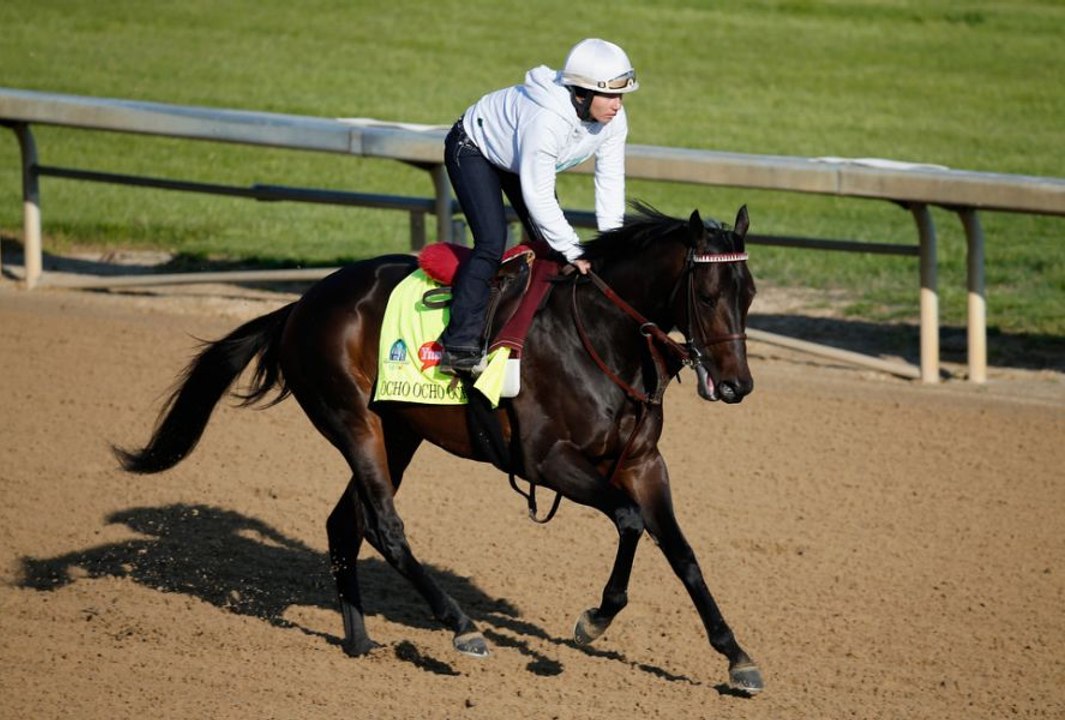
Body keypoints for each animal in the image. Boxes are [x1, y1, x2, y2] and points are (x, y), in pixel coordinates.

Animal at [115, 203, 763, 694]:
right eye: (708, 295)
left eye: (751, 293)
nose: (737, 386)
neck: (600, 336)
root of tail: (300, 306)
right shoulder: (548, 461)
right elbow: (629, 521)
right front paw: (594, 620)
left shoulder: (643, 463)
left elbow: (682, 552)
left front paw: (736, 656)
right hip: (352, 421)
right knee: (384, 525)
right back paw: (461, 626)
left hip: (398, 430)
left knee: (344, 523)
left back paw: (359, 640)